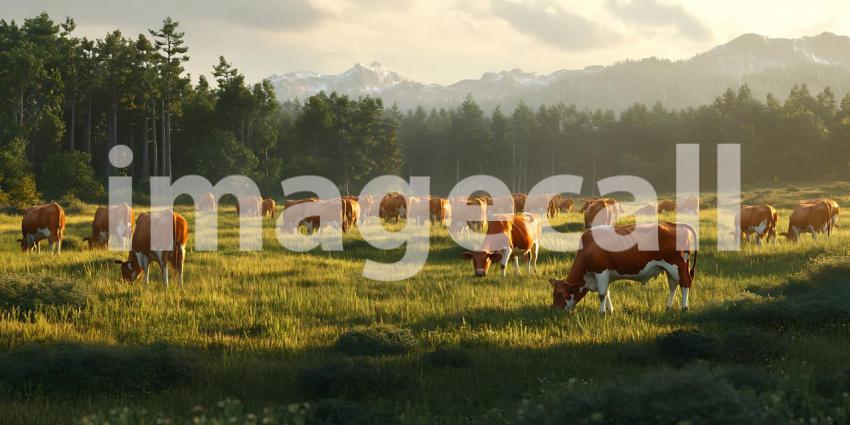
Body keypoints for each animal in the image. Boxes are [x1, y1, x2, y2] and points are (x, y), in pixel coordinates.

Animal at [549, 222, 698, 314]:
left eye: (560, 293)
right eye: (554, 293)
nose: (555, 310)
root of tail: (674, 224)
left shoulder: (601, 271)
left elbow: (602, 294)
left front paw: (602, 312)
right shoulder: (606, 275)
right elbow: (607, 293)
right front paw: (610, 311)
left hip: (677, 265)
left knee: (685, 283)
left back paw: (684, 307)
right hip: (670, 268)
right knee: (673, 285)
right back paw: (668, 307)